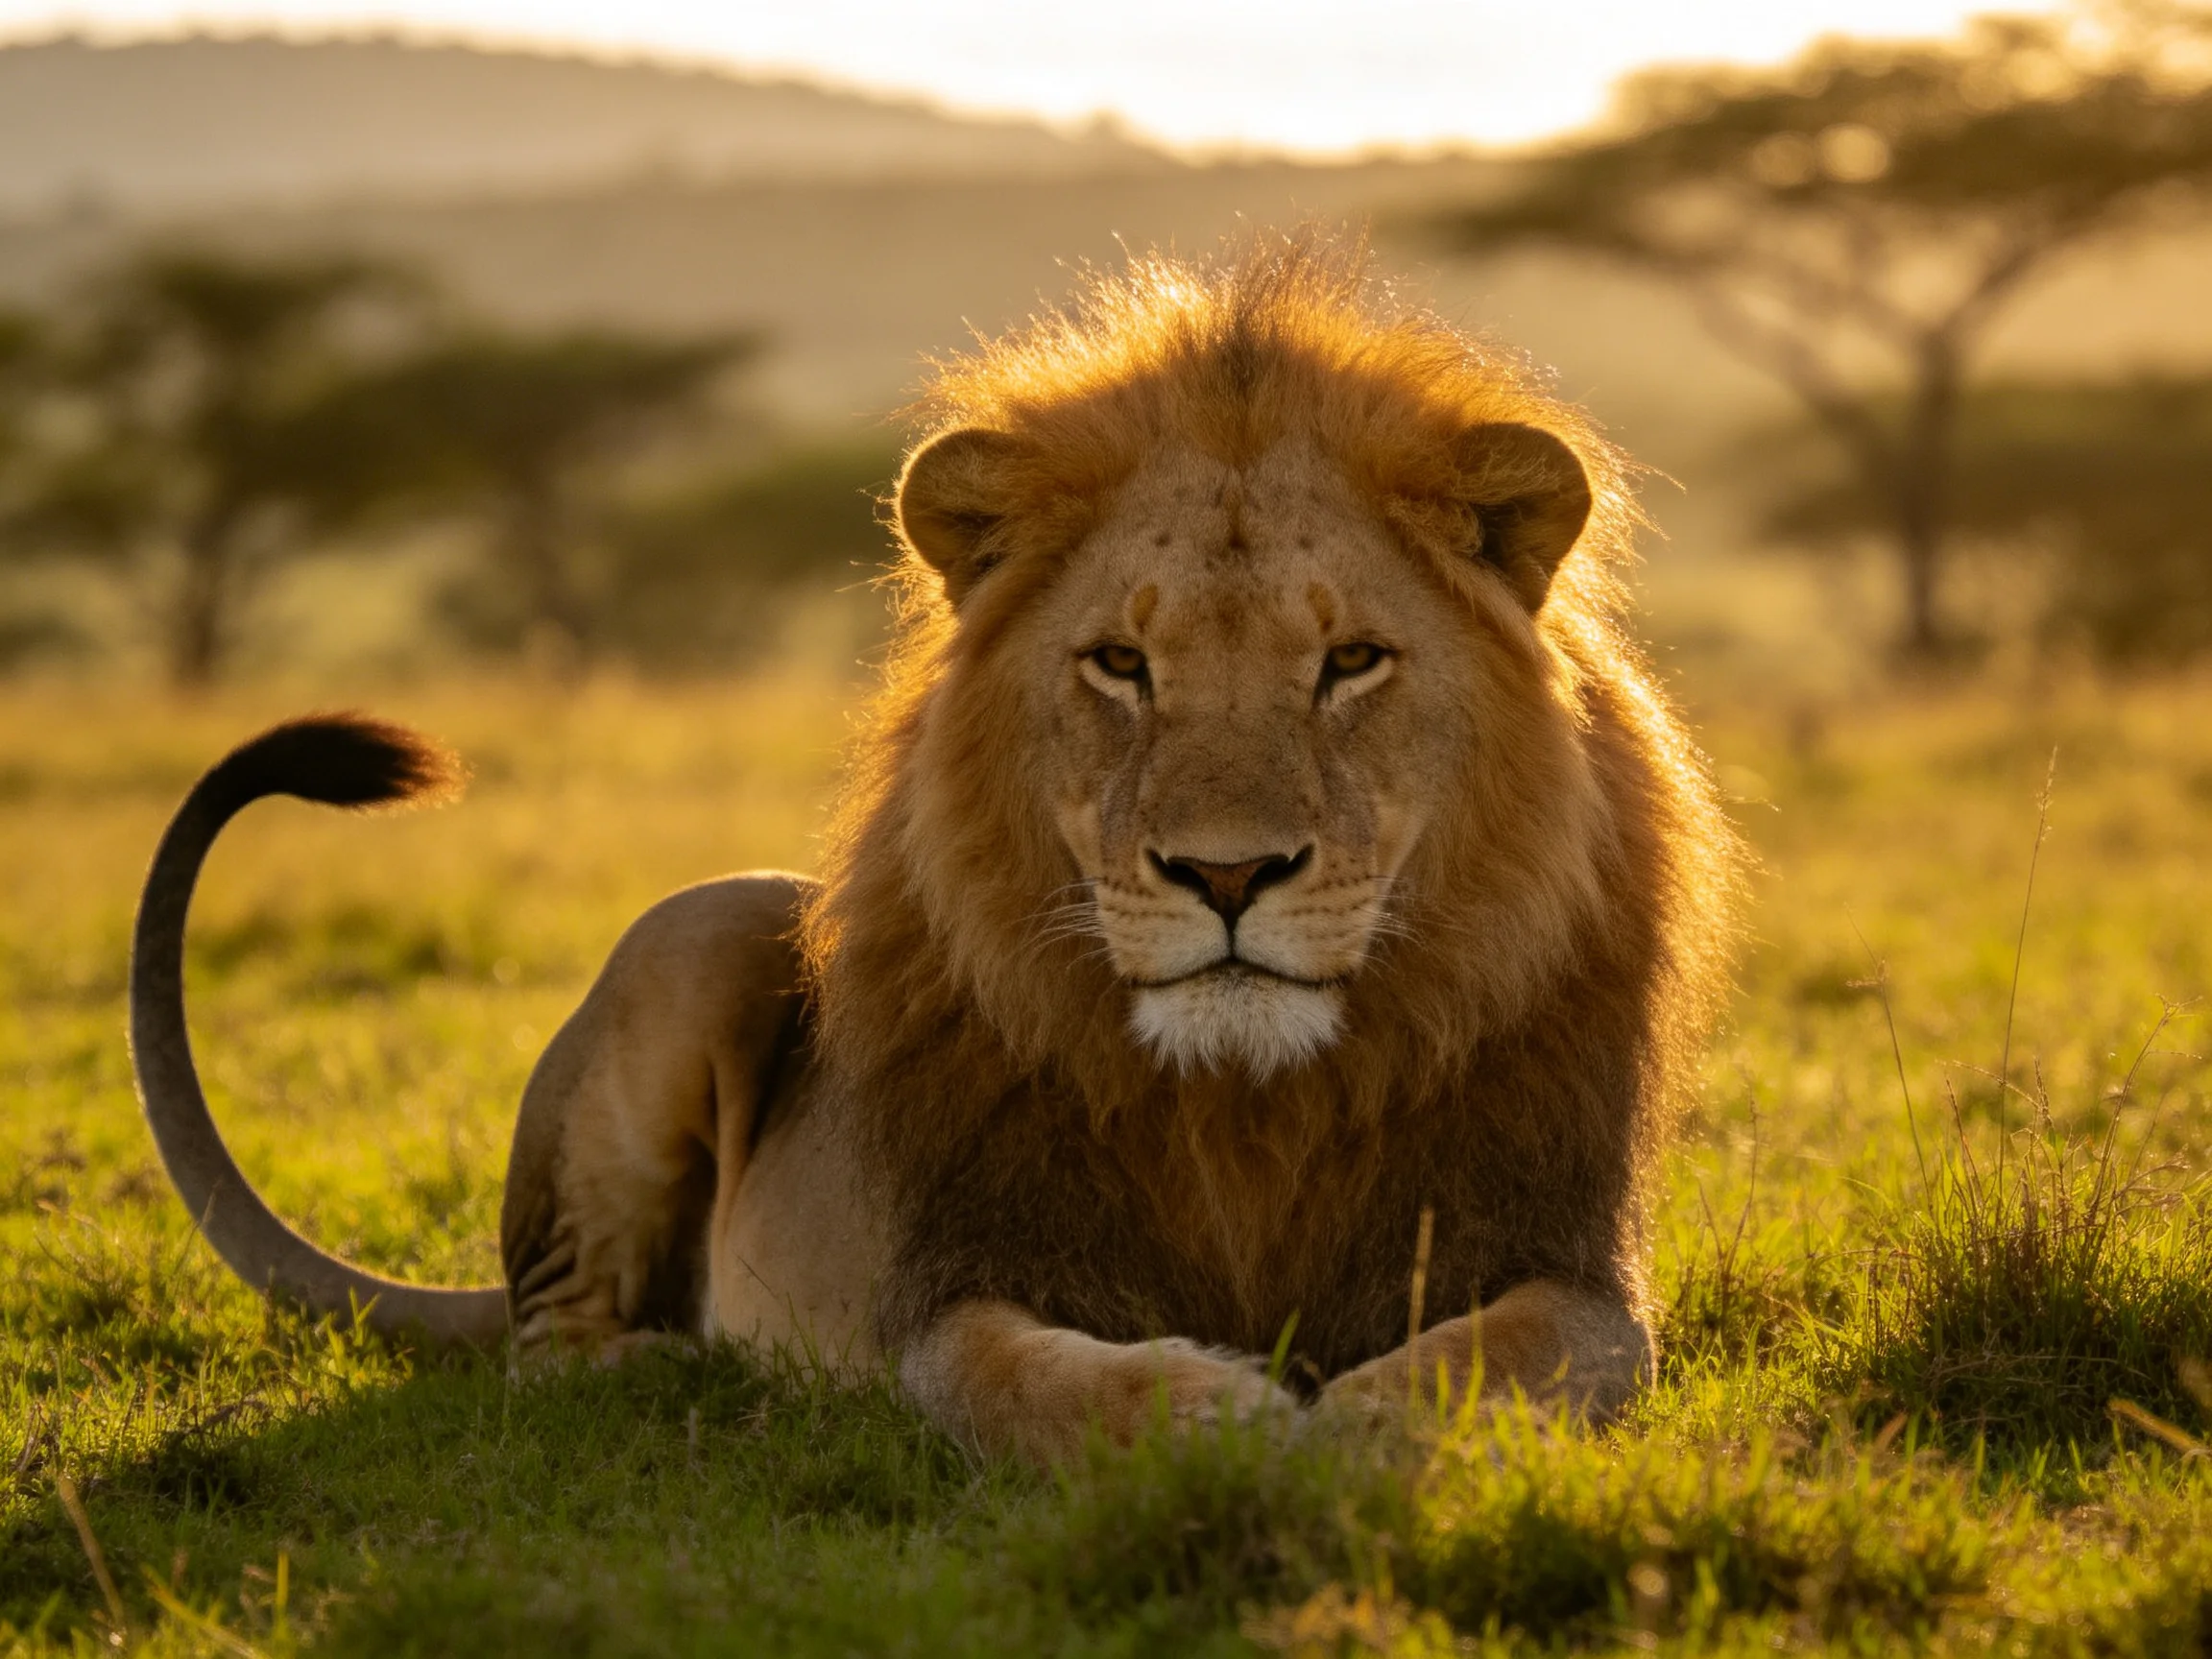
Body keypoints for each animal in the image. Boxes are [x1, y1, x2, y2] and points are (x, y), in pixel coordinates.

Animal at [130, 229, 1738, 1465]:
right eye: (1120, 667)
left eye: (1350, 662)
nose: (1225, 878)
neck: (1249, 1105)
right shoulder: (953, 1284)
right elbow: (1019, 1379)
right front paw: (1219, 1417)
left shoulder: (1569, 1262)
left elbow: (1501, 1360)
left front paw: (1350, 1428)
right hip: (702, 929)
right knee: (552, 1337)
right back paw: (679, 1367)